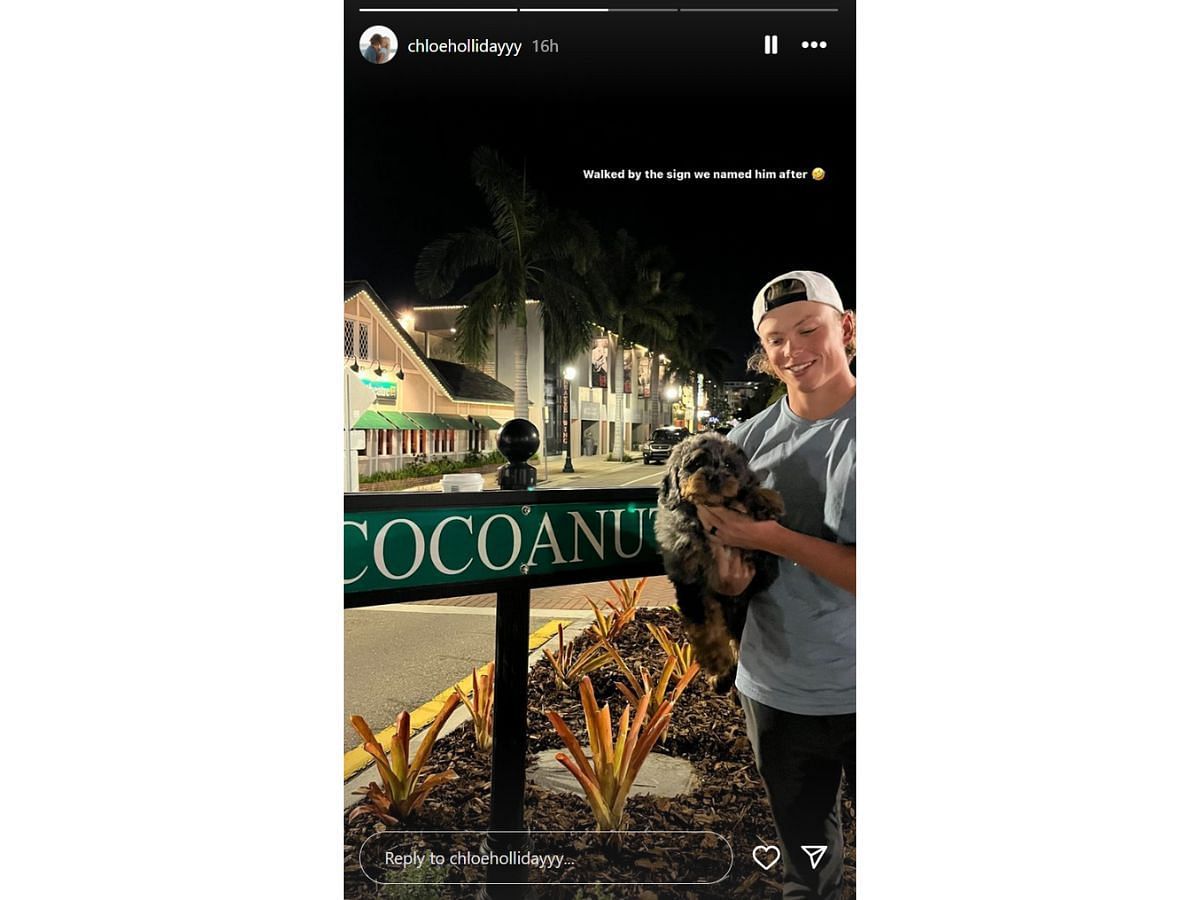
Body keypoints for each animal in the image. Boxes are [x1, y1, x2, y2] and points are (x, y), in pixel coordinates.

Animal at [652, 434, 782, 696]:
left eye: (729, 465)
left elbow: (747, 491)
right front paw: (716, 661)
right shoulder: (689, 579)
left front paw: (764, 499)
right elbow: (703, 625)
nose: (714, 477)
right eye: (695, 464)